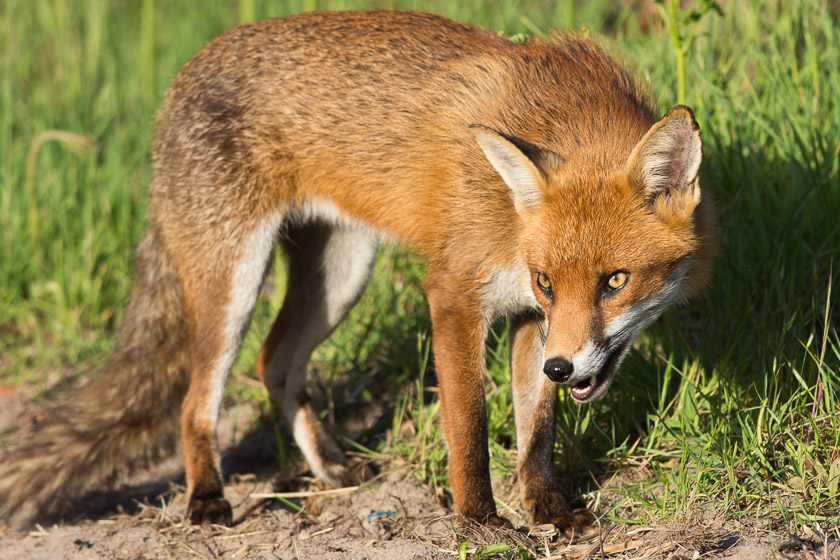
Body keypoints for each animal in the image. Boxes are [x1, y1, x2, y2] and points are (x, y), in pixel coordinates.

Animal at [0, 9, 712, 540]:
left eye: (614, 280)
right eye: (550, 280)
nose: (563, 369)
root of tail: (179, 81)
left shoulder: (528, 322)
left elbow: (535, 434)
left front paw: (549, 511)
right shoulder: (458, 297)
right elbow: (470, 428)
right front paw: (480, 522)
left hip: (340, 277)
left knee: (275, 361)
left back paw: (330, 469)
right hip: (234, 281)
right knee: (195, 400)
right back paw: (206, 499)